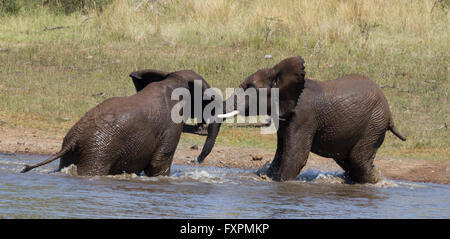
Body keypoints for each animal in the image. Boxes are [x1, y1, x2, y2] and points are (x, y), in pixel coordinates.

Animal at [21, 69, 221, 176]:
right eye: (208, 100)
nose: (197, 160)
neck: (171, 80)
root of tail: (74, 139)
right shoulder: (171, 126)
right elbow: (159, 163)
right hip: (97, 152)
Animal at [199, 55, 406, 183]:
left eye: (251, 88)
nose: (198, 161)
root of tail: (390, 115)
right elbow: (280, 153)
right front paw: (266, 176)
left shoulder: (303, 117)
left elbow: (295, 157)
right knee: (350, 162)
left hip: (374, 124)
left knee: (358, 160)